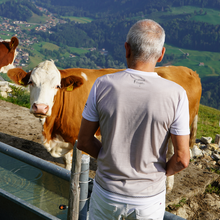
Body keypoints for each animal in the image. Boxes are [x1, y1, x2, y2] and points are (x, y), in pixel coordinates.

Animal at [7, 60, 202, 191]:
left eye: (57, 86)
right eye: (31, 82)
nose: (40, 107)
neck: (52, 131)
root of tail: (187, 70)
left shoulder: (81, 137)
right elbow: (68, 163)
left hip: (179, 127)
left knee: (173, 152)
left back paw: (168, 186)